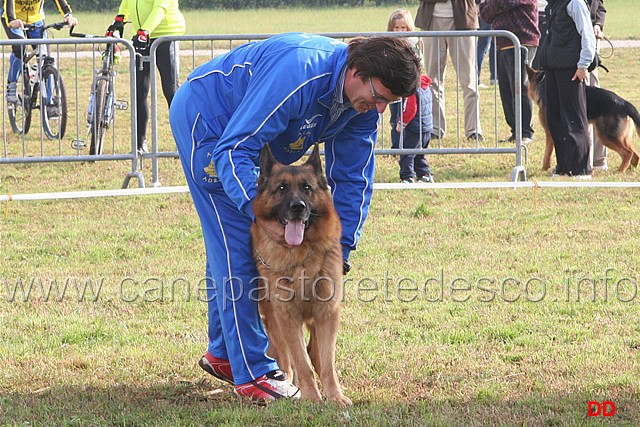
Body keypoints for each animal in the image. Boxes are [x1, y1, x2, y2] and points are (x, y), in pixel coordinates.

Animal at [250, 145, 352, 408]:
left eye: (307, 188)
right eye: (281, 188)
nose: (298, 207)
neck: (301, 258)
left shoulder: (327, 314)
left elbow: (326, 362)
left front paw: (334, 395)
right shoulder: (287, 317)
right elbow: (301, 362)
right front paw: (311, 397)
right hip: (275, 320)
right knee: (285, 358)